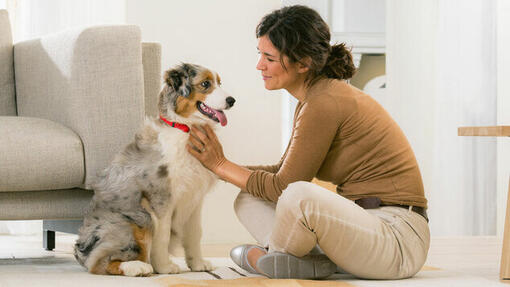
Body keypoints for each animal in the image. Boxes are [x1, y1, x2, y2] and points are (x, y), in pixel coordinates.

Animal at [73, 63, 235, 276]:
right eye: (205, 84)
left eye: (219, 83)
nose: (232, 100)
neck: (185, 128)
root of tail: (80, 251)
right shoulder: (161, 198)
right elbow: (163, 235)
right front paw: (165, 267)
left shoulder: (195, 198)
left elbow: (195, 234)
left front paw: (198, 264)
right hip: (140, 216)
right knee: (100, 263)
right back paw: (138, 267)